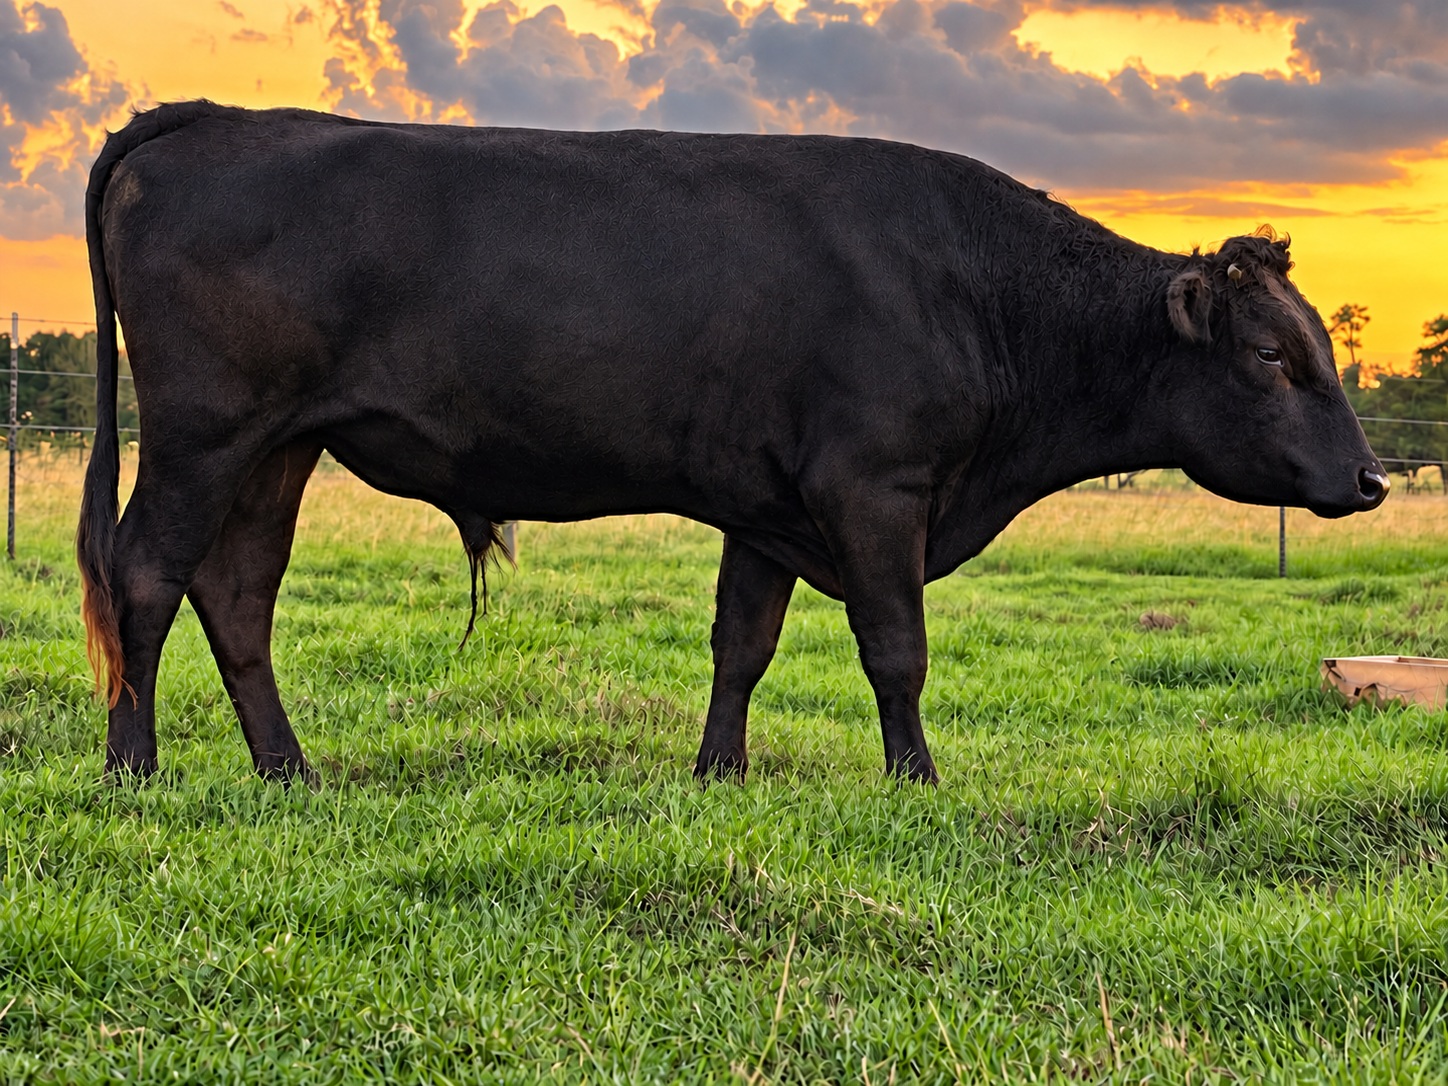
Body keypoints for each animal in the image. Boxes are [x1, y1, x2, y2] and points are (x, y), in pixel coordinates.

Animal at [78, 100, 1387, 785]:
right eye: (1271, 360)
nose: (1370, 477)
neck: (975, 289)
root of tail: (218, 119)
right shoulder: (872, 487)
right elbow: (895, 649)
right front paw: (914, 779)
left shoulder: (766, 505)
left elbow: (739, 647)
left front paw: (718, 772)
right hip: (203, 434)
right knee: (145, 572)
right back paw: (134, 766)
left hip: (275, 449)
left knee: (238, 594)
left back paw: (288, 769)